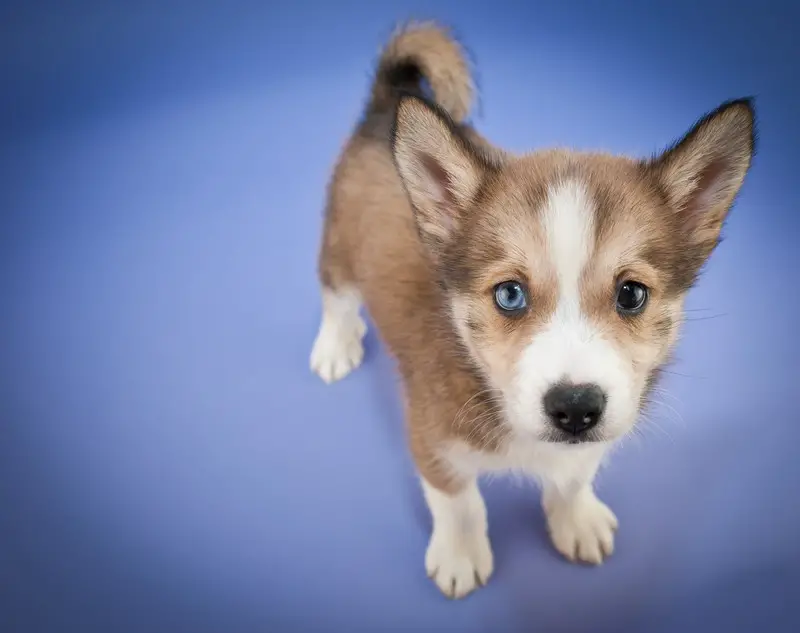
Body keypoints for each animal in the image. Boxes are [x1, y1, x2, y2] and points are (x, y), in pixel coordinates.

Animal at [310, 21, 756, 596]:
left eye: (631, 294)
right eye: (509, 295)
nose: (575, 408)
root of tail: (386, 101)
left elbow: (574, 477)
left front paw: (576, 520)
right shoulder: (431, 440)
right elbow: (458, 502)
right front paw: (459, 555)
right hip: (339, 251)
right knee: (335, 297)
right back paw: (334, 347)